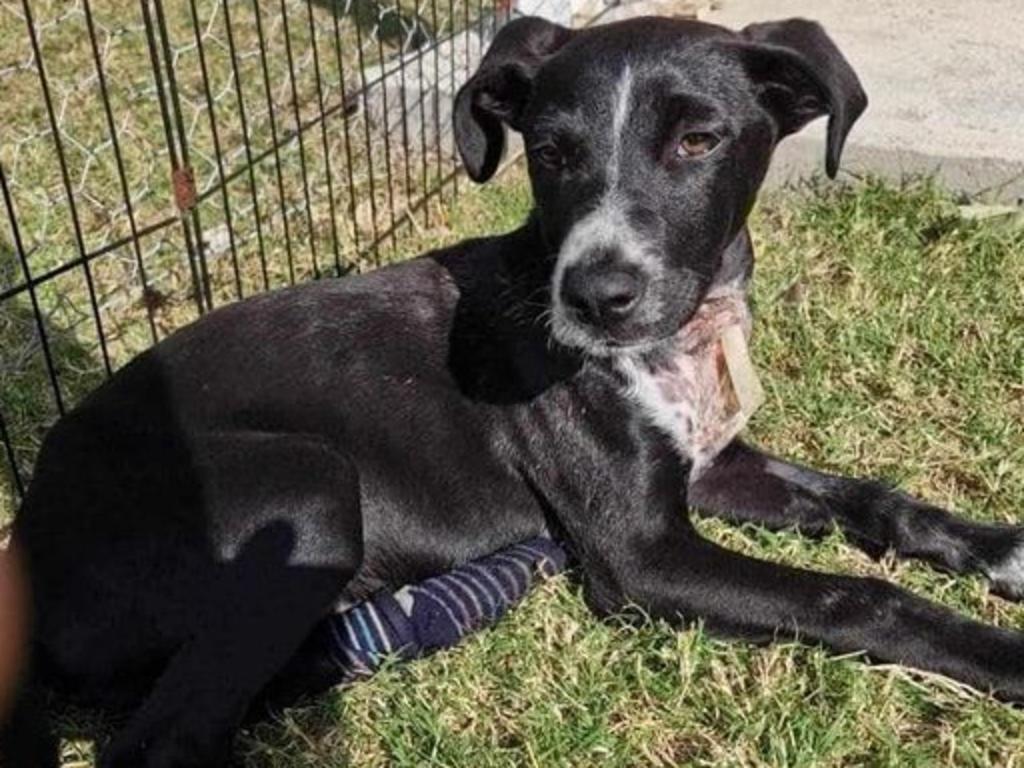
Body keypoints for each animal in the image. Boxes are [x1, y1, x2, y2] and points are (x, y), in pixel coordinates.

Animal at [6, 13, 1024, 768]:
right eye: (549, 152)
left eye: (697, 141)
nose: (596, 297)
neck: (680, 339)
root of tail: (24, 543)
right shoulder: (641, 558)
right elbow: (857, 599)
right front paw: (998, 653)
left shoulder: (710, 467)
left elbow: (870, 499)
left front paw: (997, 547)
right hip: (303, 485)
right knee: (160, 737)